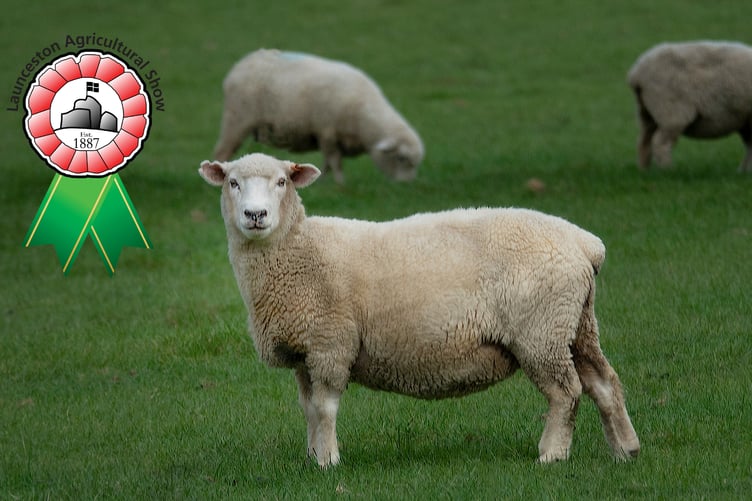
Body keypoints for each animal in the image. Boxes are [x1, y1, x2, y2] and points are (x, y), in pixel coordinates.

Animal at [198, 152, 641, 467]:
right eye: (233, 182)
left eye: (282, 181)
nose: (256, 215)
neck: (298, 251)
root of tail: (585, 243)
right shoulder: (306, 351)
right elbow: (308, 409)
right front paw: (312, 457)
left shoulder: (331, 342)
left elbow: (324, 408)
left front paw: (328, 461)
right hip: (576, 323)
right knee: (604, 383)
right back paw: (625, 450)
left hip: (541, 330)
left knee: (566, 392)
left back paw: (552, 454)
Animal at [213, 49, 424, 183]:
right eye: (401, 158)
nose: (406, 185)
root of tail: (240, 65)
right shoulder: (327, 132)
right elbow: (334, 161)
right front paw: (340, 183)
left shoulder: (331, 136)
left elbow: (327, 163)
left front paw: (322, 181)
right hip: (236, 119)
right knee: (222, 152)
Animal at [627, 41, 752, 172]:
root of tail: (637, 74)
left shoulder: (745, 120)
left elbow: (749, 145)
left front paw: (744, 171)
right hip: (671, 112)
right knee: (661, 143)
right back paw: (668, 170)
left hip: (646, 113)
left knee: (644, 142)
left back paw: (644, 170)